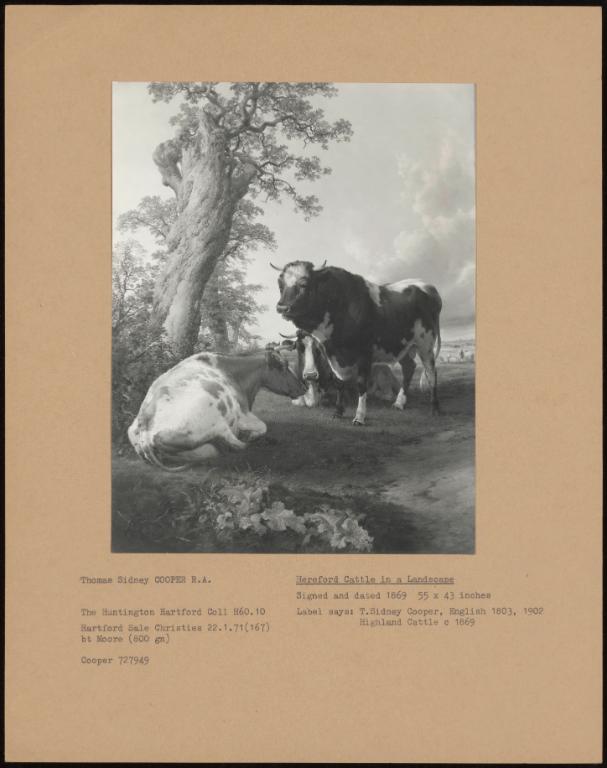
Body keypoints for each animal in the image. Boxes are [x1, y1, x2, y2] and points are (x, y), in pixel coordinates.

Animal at [129, 346, 308, 468]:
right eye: (282, 366)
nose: (304, 387)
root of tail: (144, 425)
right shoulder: (243, 413)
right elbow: (263, 426)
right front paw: (252, 436)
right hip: (215, 421)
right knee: (237, 444)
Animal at [274, 260, 442, 424]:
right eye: (280, 285)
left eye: (303, 284)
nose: (282, 307)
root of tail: (426, 285)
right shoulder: (334, 355)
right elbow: (339, 382)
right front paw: (338, 411)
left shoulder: (365, 354)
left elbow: (361, 384)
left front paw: (359, 416)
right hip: (402, 345)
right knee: (409, 368)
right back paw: (399, 403)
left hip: (425, 343)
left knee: (431, 372)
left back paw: (435, 408)